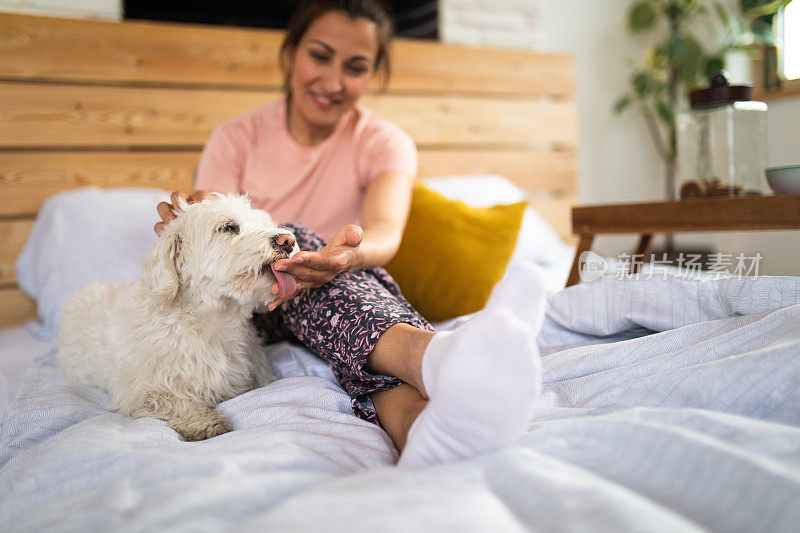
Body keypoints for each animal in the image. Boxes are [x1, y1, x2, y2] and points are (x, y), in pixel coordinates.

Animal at [56, 194, 298, 440]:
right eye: (228, 227)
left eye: (263, 223)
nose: (288, 240)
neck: (213, 321)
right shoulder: (140, 391)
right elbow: (175, 400)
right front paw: (206, 422)